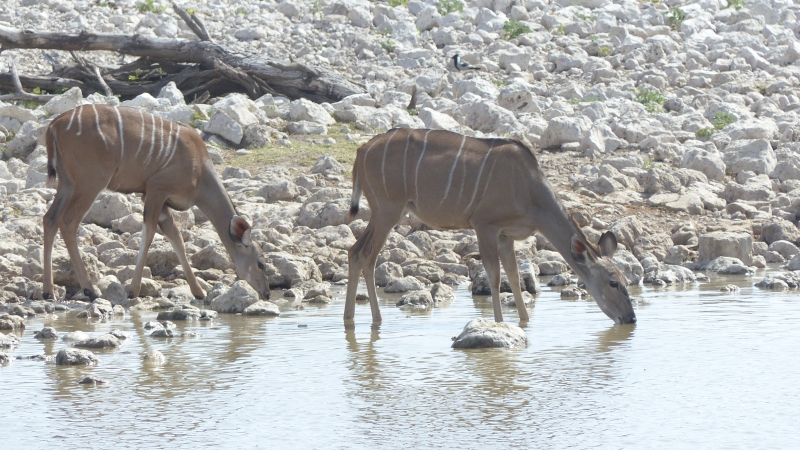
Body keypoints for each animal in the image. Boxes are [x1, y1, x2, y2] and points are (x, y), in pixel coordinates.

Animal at [42, 105, 270, 300]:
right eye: (261, 264)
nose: (267, 293)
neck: (200, 170)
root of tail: (54, 125)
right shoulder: (156, 189)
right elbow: (150, 232)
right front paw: (133, 290)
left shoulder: (160, 200)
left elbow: (176, 237)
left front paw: (199, 292)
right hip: (91, 183)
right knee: (68, 222)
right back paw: (90, 289)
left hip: (67, 184)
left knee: (50, 218)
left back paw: (48, 291)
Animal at [344, 128, 636, 326]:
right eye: (613, 283)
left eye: (625, 281)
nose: (630, 318)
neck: (529, 189)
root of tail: (360, 152)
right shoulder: (484, 225)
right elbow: (495, 276)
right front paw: (500, 322)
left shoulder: (507, 235)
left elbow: (515, 277)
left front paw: (524, 322)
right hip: (388, 212)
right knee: (368, 256)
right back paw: (376, 319)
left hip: (381, 214)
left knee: (354, 251)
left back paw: (349, 318)